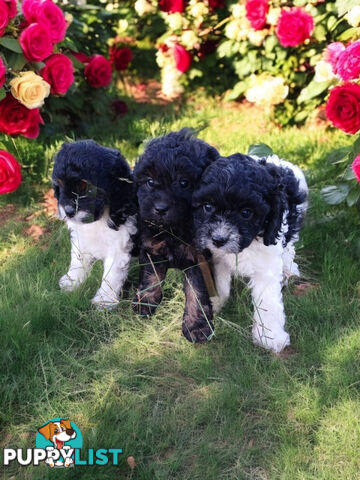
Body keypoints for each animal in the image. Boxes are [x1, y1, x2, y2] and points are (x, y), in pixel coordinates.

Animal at [52, 141, 137, 310]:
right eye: (59, 184)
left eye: (85, 187)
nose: (68, 211)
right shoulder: (79, 237)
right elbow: (78, 260)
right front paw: (72, 281)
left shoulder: (119, 244)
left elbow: (111, 274)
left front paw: (105, 300)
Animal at [131, 129, 218, 344]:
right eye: (150, 181)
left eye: (184, 183)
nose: (160, 209)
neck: (173, 229)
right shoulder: (151, 248)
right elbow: (151, 276)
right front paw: (145, 301)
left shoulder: (199, 259)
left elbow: (197, 291)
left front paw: (197, 327)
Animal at [193, 154, 308, 352]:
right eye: (207, 206)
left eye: (246, 212)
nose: (218, 239)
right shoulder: (218, 257)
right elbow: (221, 283)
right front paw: (215, 304)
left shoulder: (267, 262)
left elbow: (268, 302)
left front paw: (270, 337)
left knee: (289, 250)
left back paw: (289, 271)